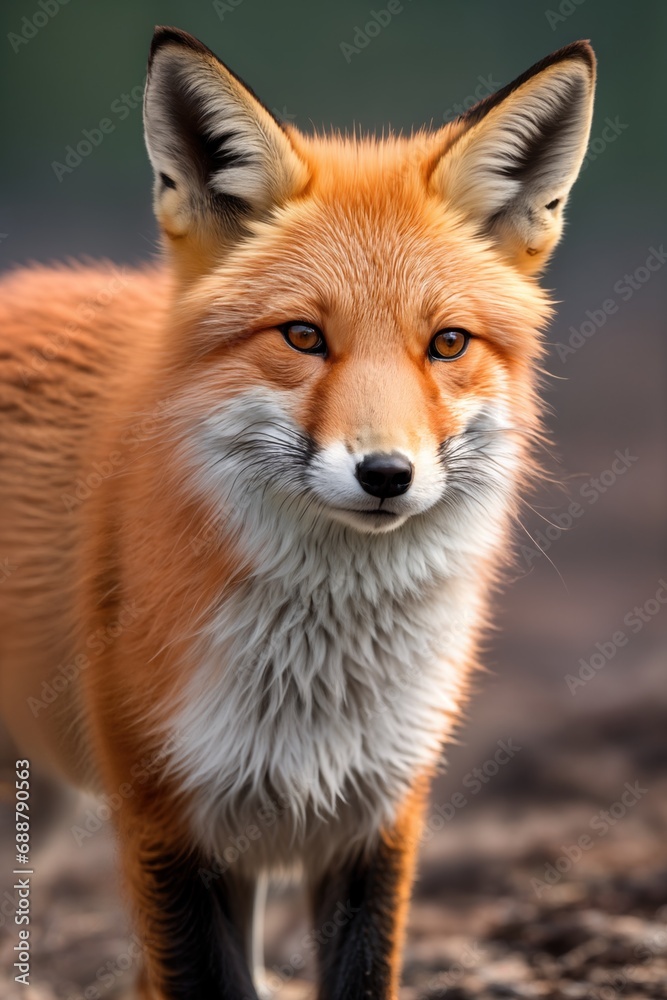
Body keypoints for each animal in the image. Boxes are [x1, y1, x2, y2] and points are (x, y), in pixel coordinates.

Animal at [0, 26, 596, 1000]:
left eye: (447, 343)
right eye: (303, 337)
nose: (386, 473)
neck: (316, 680)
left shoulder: (377, 814)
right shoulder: (166, 819)